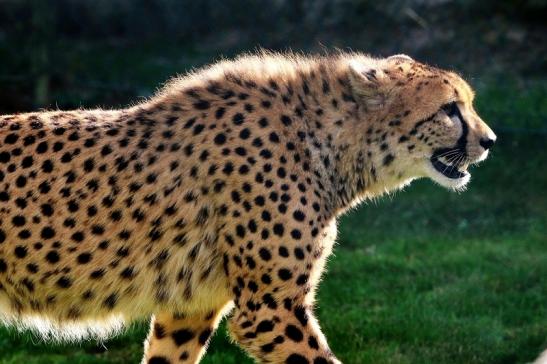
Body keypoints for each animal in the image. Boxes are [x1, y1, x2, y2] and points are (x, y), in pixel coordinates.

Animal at [0, 52, 496, 364]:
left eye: (467, 104)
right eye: (450, 109)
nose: (490, 141)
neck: (331, 142)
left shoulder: (190, 307)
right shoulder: (270, 310)